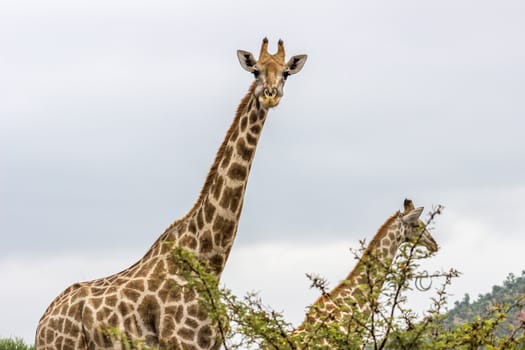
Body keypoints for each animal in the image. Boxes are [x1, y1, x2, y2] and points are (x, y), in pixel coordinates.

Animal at [34, 38, 308, 350]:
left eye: (286, 73)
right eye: (255, 71)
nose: (270, 95)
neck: (210, 260)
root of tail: (42, 322)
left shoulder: (210, 343)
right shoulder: (181, 341)